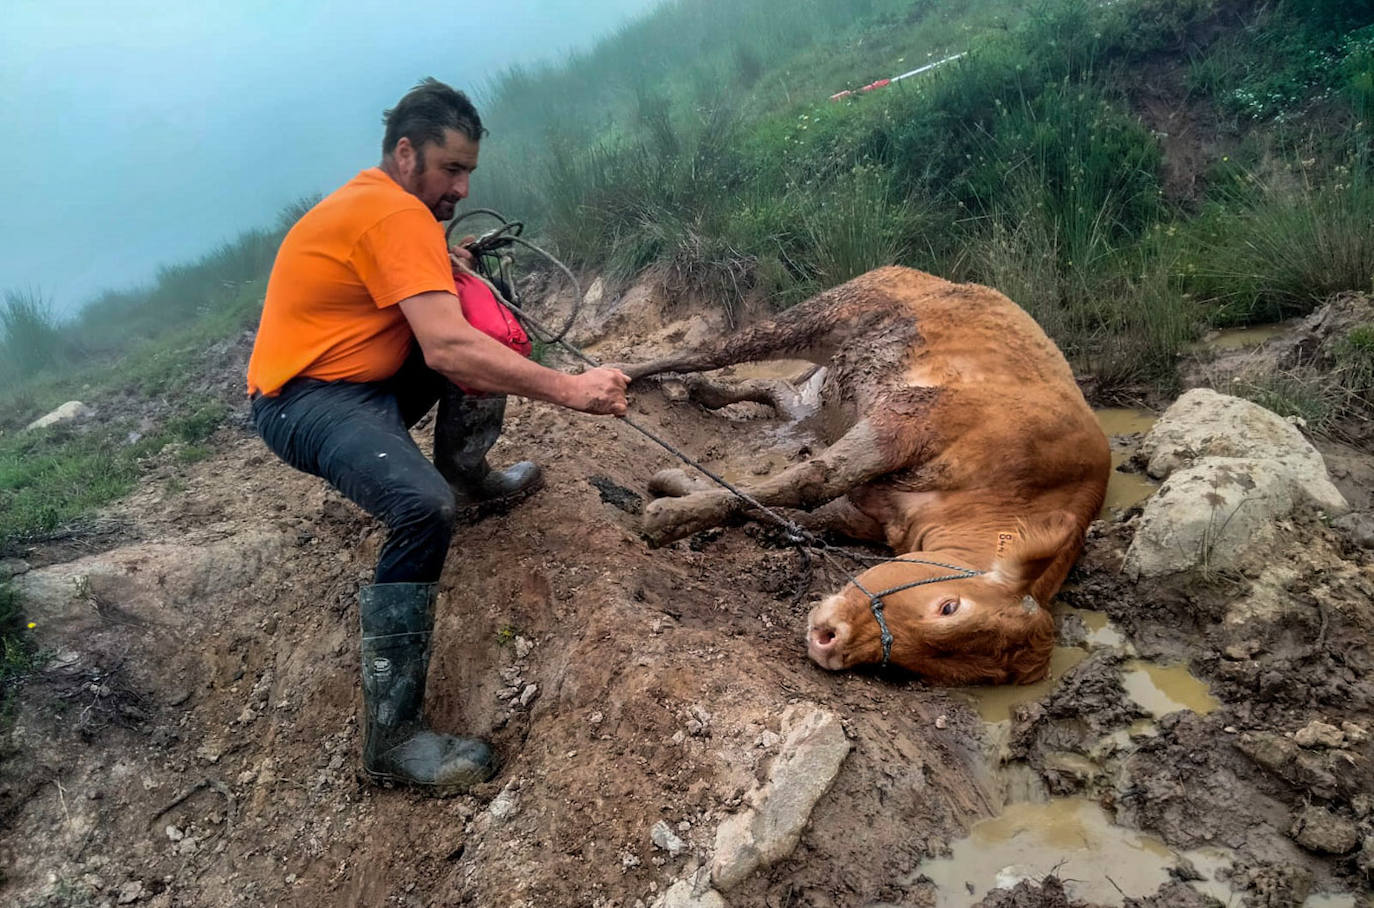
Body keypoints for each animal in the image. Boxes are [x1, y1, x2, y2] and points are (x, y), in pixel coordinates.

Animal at [618, 265, 1110, 684]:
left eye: (933, 666)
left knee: (781, 391)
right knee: (709, 351)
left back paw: (708, 392)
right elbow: (813, 478)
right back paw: (624, 372)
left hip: (823, 399)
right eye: (949, 607)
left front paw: (681, 486)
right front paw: (671, 517)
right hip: (823, 315)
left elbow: (792, 509)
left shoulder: (873, 512)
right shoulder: (906, 420)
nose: (830, 645)